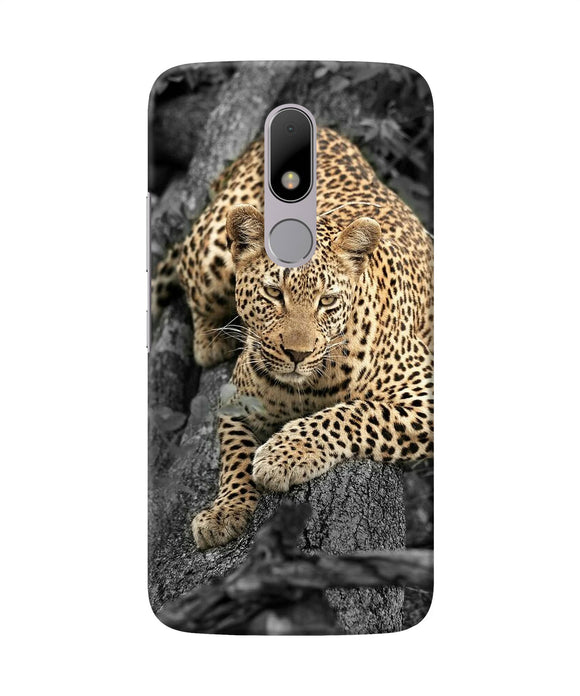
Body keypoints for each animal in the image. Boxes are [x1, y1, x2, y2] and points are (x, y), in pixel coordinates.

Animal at [152, 127, 433, 550]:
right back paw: (210, 340)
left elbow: (354, 413)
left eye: (327, 300)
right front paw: (225, 510)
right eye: (273, 293)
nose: (296, 354)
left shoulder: (425, 395)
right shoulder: (235, 399)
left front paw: (283, 455)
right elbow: (234, 455)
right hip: (211, 253)